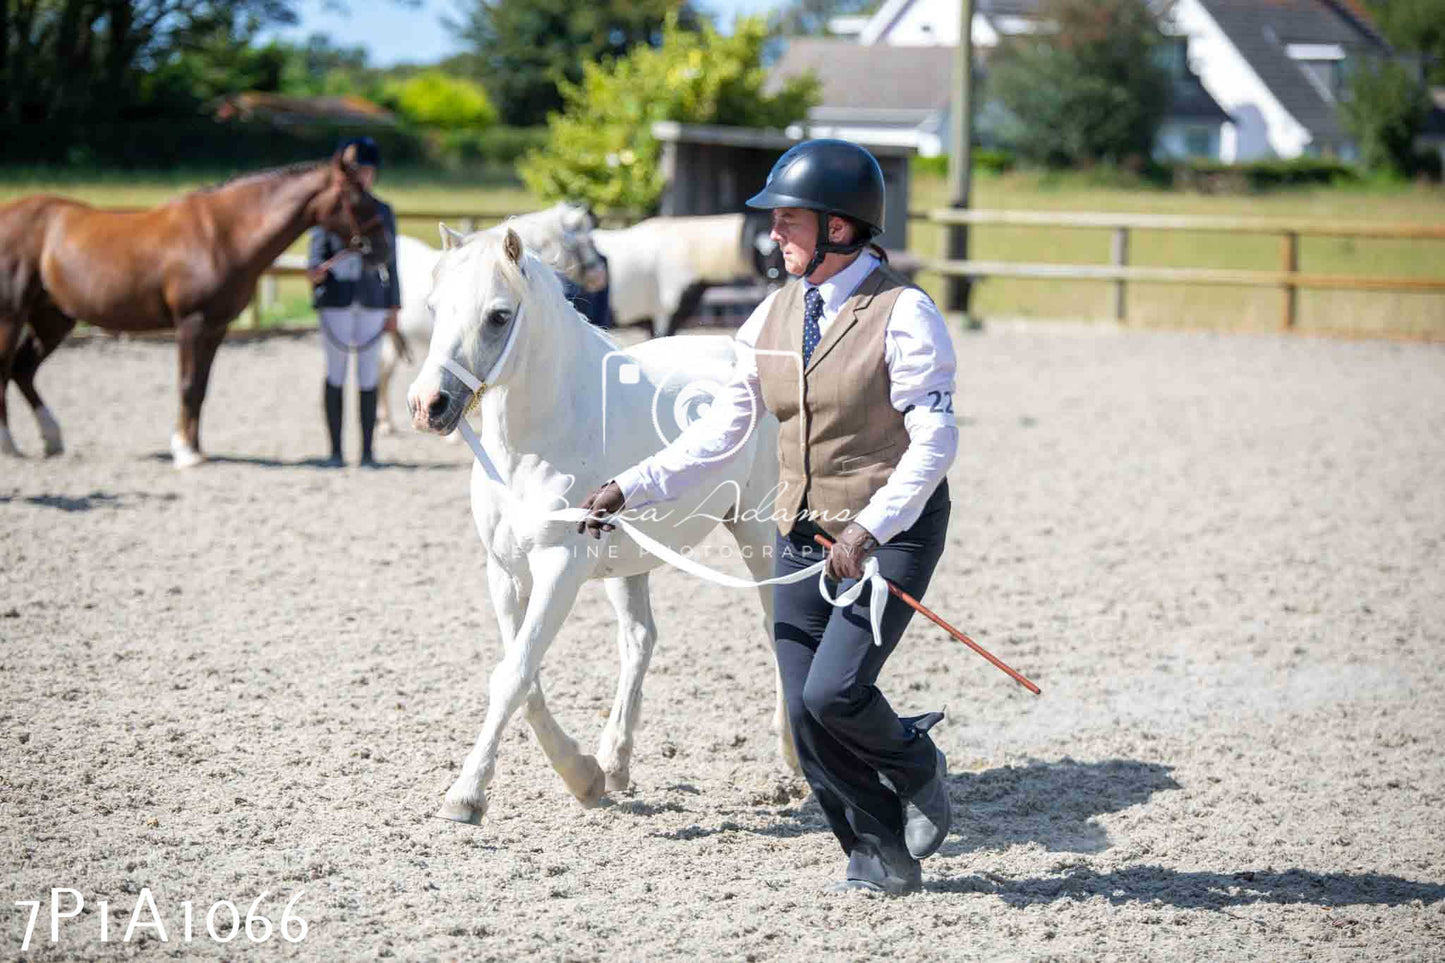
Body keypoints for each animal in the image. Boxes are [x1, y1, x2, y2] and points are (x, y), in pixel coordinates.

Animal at [0, 148, 393, 465]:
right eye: (357, 198)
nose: (383, 248)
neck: (222, 235)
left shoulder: (215, 328)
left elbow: (202, 388)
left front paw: (197, 447)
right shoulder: (192, 324)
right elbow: (188, 385)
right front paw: (184, 452)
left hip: (53, 319)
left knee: (23, 370)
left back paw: (52, 439)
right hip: (12, 316)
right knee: (7, 369)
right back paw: (10, 446)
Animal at [401, 222, 797, 815]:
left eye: (498, 315)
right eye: (433, 306)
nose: (429, 405)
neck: (540, 439)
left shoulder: (559, 568)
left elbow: (514, 675)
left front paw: (466, 795)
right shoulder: (504, 573)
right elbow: (525, 676)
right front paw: (582, 776)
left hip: (759, 533)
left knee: (778, 629)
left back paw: (792, 757)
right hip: (631, 563)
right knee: (639, 640)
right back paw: (614, 762)